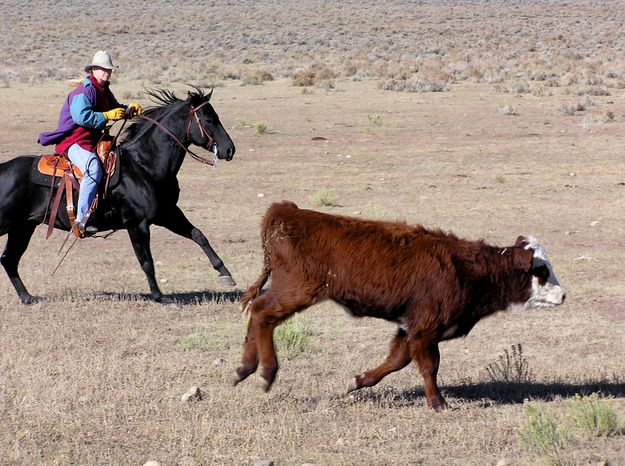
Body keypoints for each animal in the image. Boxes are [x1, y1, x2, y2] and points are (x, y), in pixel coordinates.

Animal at [1, 86, 235, 306]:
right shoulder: (137, 224)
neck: (144, 166)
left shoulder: (167, 213)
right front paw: (160, 296)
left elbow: (198, 235)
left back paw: (27, 297)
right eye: (209, 119)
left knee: (9, 259)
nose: (229, 149)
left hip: (23, 227)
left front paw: (225, 273)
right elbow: (146, 261)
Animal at [234, 200, 564, 408]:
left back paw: (244, 368)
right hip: (297, 290)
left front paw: (358, 381)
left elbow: (396, 360)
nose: (562, 295)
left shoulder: (412, 327)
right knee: (263, 314)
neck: (470, 269)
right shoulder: (426, 328)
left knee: (257, 312)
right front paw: (438, 403)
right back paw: (266, 372)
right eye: (540, 270)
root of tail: (286, 212)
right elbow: (429, 366)